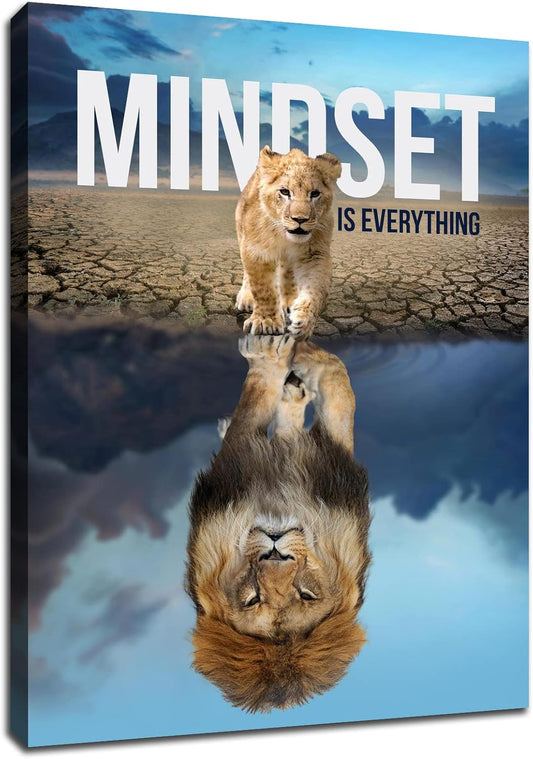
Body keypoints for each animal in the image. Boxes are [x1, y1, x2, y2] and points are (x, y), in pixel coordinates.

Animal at [186, 334, 371, 712]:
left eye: (306, 594)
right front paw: (285, 357)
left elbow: (336, 390)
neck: (279, 502)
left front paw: (283, 358)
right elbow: (335, 387)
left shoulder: (329, 466)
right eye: (253, 599)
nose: (275, 551)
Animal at [235, 146, 342, 340]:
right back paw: (246, 298)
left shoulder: (315, 254)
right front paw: (266, 321)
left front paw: (304, 321)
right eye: (285, 192)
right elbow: (263, 288)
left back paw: (289, 302)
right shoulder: (256, 251)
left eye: (315, 193)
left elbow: (317, 289)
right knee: (248, 274)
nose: (300, 219)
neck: (283, 236)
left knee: (288, 272)